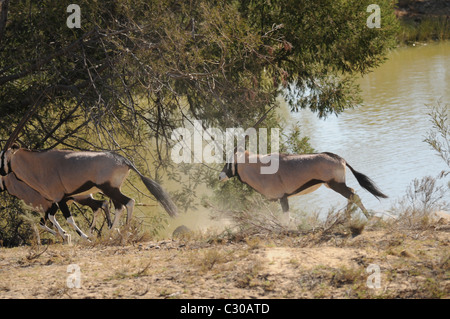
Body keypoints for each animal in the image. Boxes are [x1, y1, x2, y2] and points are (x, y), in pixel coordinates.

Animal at [0, 145, 178, 238]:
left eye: (1, 156)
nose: (1, 172)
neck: (38, 164)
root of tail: (123, 160)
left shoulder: (58, 200)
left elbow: (67, 219)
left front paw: (82, 237)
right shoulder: (56, 202)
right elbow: (47, 220)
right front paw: (65, 235)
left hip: (108, 189)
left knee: (128, 202)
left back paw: (121, 232)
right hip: (111, 190)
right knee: (118, 206)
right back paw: (111, 231)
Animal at [218, 151, 386, 221]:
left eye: (230, 162)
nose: (220, 176)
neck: (258, 167)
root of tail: (340, 158)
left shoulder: (283, 198)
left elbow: (286, 219)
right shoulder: (277, 199)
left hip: (335, 184)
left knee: (353, 195)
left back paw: (368, 218)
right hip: (333, 185)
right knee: (352, 192)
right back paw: (348, 217)